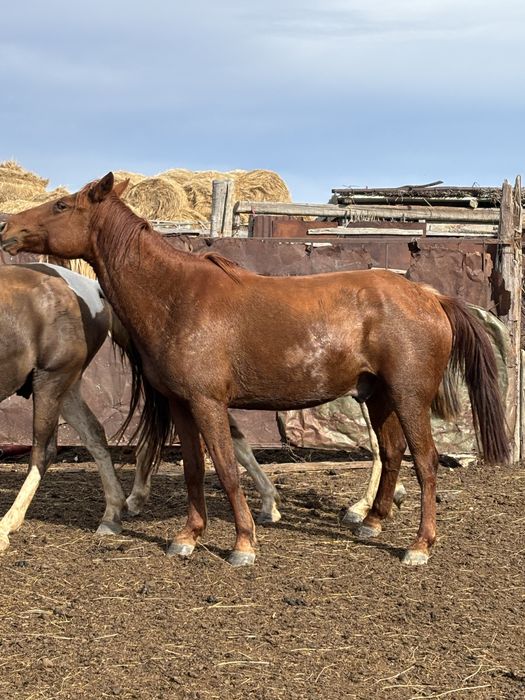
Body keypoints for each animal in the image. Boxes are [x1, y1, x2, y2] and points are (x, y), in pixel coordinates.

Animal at [1, 173, 509, 566]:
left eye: (62, 205)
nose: (8, 226)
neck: (175, 296)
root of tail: (430, 295)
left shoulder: (208, 403)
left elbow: (226, 467)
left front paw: (243, 542)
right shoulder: (182, 405)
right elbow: (192, 468)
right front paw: (188, 537)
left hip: (408, 396)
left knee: (424, 460)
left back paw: (420, 545)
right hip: (379, 396)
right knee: (392, 452)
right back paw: (372, 521)